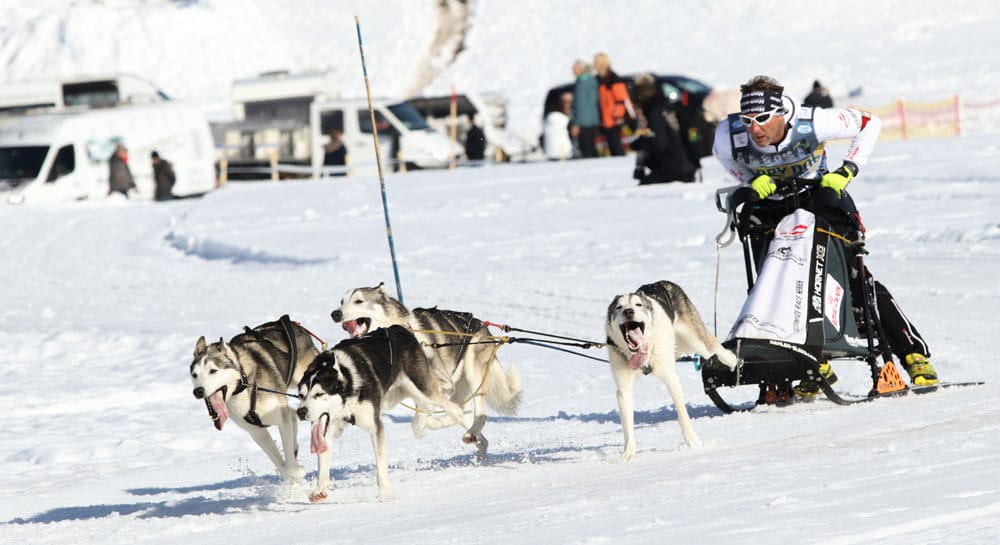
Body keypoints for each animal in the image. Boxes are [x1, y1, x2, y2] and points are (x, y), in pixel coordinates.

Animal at [191, 316, 320, 478]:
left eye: (213, 371)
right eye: (194, 374)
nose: (198, 391)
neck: (245, 384)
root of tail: (292, 324)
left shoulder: (280, 418)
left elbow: (289, 464)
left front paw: (297, 471)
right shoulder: (257, 432)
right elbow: (281, 465)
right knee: (292, 414)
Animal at [294, 324, 474, 502]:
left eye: (319, 394)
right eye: (301, 396)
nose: (301, 411)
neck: (349, 382)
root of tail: (399, 328)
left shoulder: (375, 427)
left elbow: (380, 465)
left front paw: (385, 494)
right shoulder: (325, 427)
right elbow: (323, 461)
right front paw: (320, 489)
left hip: (424, 391)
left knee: (456, 410)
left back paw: (472, 433)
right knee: (425, 414)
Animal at [334, 282, 524, 462]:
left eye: (359, 301)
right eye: (342, 302)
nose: (335, 314)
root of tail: (482, 325)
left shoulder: (441, 385)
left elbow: (421, 421)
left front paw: (430, 423)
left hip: (472, 371)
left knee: (478, 413)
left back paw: (465, 429)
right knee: (470, 420)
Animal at [604, 282, 740, 456]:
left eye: (638, 305)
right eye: (619, 307)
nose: (628, 311)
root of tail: (661, 282)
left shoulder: (670, 378)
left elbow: (682, 413)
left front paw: (692, 441)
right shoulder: (623, 389)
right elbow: (627, 426)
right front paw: (628, 454)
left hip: (696, 340)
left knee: (714, 347)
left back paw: (733, 360)